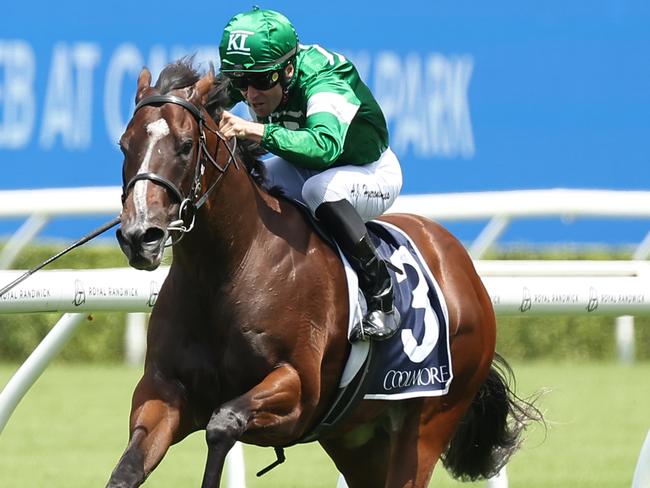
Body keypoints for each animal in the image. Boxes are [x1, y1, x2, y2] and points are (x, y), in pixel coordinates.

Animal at [109, 61, 540, 488]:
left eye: (185, 146)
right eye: (125, 145)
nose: (139, 236)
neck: (229, 267)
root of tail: (466, 272)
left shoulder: (299, 392)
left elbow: (223, 423)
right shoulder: (163, 391)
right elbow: (128, 468)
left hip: (430, 421)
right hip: (356, 437)